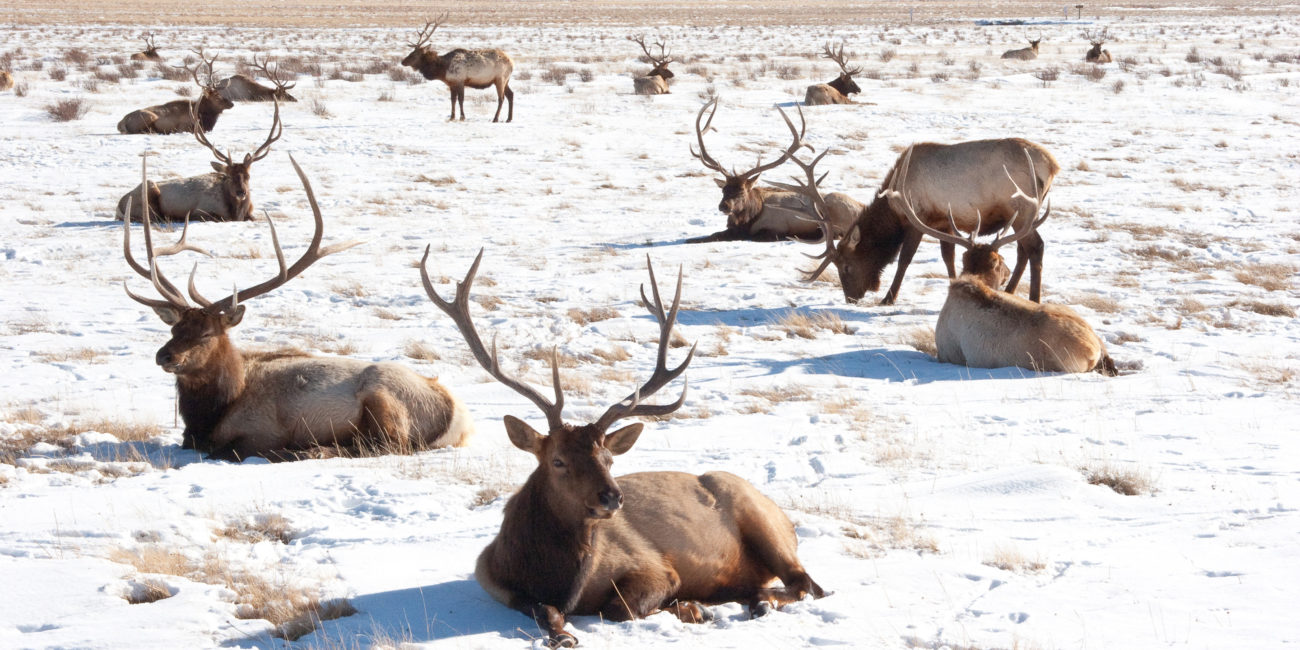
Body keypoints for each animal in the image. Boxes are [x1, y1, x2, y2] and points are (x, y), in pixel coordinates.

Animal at [116, 100, 282, 223]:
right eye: (229, 177)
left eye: (248, 176)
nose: (241, 192)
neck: (237, 212)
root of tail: (119, 205)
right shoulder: (200, 211)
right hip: (148, 192)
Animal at [121, 154, 475, 461]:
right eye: (174, 328)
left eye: (207, 333)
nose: (164, 356)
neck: (214, 410)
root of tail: (457, 415)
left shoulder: (260, 430)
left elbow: (229, 449)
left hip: (385, 399)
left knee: (385, 445)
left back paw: (307, 450)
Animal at [421, 249, 825, 648]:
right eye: (557, 461)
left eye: (609, 458)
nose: (612, 497)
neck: (557, 581)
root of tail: (785, 519)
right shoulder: (494, 581)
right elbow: (543, 611)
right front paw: (562, 634)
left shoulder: (655, 567)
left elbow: (619, 607)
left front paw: (689, 608)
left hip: (762, 520)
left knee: (805, 583)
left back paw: (758, 601)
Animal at [687, 97, 863, 244]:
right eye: (723, 190)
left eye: (742, 192)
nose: (724, 206)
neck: (749, 218)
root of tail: (861, 207)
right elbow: (711, 235)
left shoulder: (775, 229)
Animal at [792, 137, 1059, 305]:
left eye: (846, 266)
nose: (851, 298)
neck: (894, 210)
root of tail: (1052, 165)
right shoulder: (944, 223)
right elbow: (948, 257)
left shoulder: (917, 219)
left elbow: (905, 259)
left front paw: (888, 298)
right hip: (1021, 216)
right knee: (1023, 250)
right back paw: (1010, 290)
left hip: (1021, 209)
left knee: (1035, 246)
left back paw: (1034, 298)